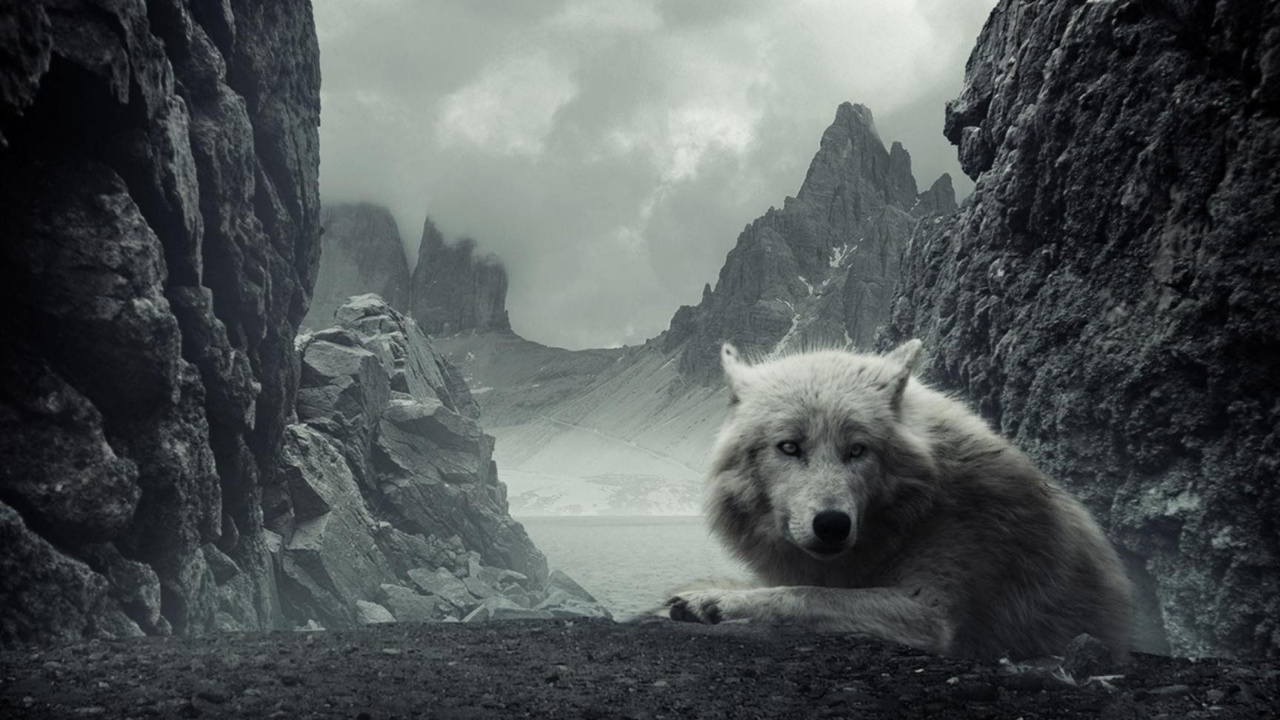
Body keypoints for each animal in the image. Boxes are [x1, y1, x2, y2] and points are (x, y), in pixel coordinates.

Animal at [666, 340, 1132, 660]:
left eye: (858, 450)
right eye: (789, 447)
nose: (832, 525)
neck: (915, 514)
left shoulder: (930, 613)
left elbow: (804, 594)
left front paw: (714, 600)